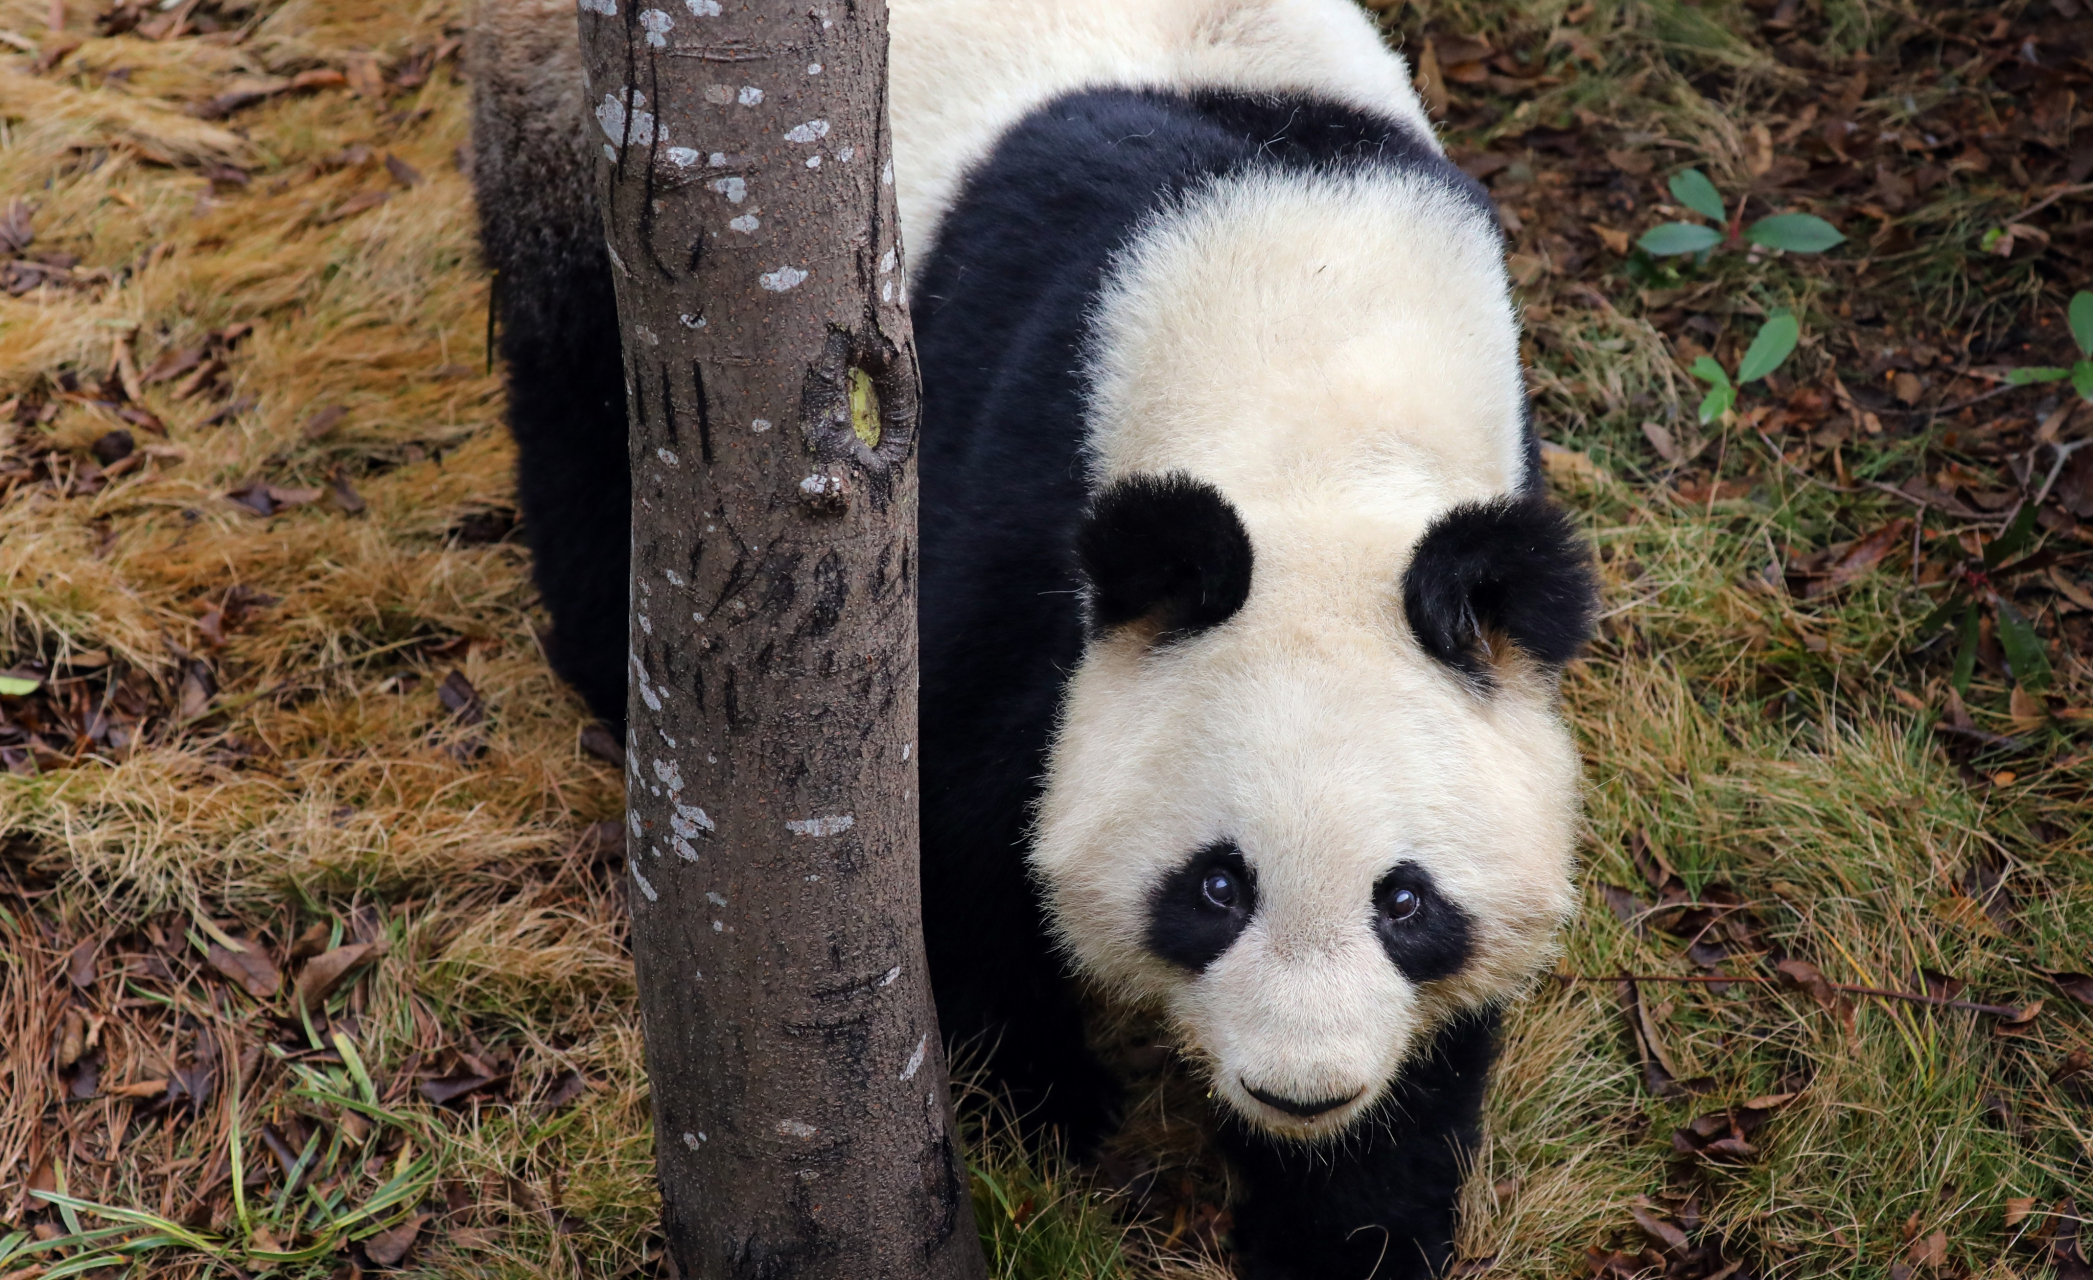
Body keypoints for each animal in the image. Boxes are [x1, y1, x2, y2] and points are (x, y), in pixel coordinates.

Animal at [466, 5, 1590, 1271]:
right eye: (1215, 885)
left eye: (1404, 900)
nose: (1299, 1086)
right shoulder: (1020, 475)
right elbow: (954, 819)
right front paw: (1045, 1116)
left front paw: (1346, 1221)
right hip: (581, 137)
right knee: (587, 380)